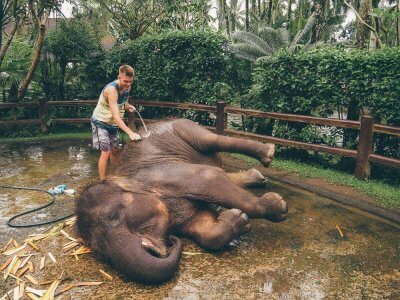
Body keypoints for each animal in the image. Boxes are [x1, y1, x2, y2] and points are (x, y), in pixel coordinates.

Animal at [75, 118, 288, 284]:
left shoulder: (165, 174)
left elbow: (209, 178)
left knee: (211, 141)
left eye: (115, 215)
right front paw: (239, 220)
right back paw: (258, 176)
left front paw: (280, 207)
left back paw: (268, 153)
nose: (171, 240)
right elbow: (206, 229)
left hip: (182, 126)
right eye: (100, 251)